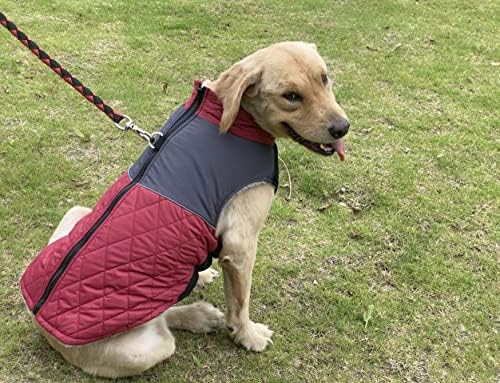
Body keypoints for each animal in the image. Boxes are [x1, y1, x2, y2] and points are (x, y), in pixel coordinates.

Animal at [22, 42, 348, 378]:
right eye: (291, 96)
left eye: (324, 78)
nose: (343, 128)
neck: (228, 114)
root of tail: (40, 322)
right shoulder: (241, 245)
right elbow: (240, 304)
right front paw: (248, 336)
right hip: (145, 348)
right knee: (163, 324)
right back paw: (198, 313)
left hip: (76, 212)